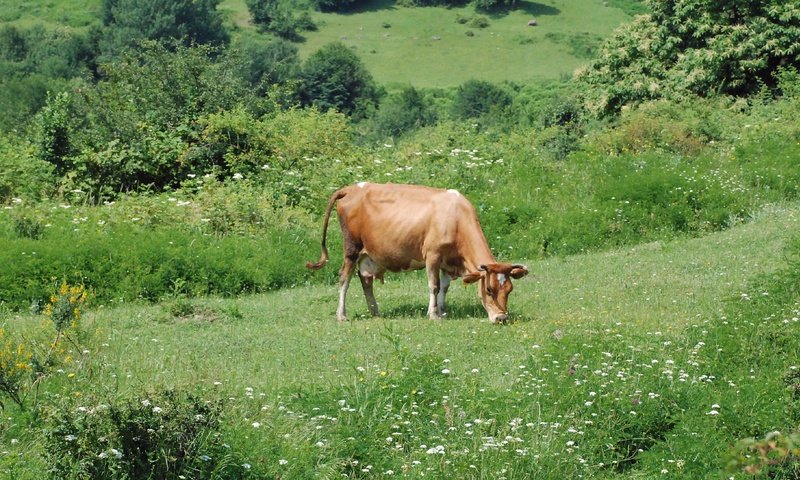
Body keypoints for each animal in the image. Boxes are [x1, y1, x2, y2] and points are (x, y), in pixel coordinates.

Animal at [304, 182, 528, 324]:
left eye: (509, 290)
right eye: (489, 290)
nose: (502, 318)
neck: (455, 217)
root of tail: (350, 188)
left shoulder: (448, 261)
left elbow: (444, 287)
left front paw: (442, 310)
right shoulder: (433, 256)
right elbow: (434, 286)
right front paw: (433, 314)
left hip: (369, 254)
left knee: (365, 279)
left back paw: (375, 312)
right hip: (352, 248)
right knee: (344, 278)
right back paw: (341, 315)